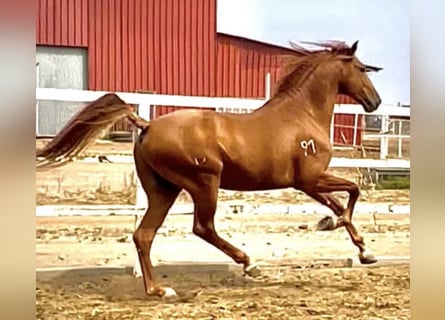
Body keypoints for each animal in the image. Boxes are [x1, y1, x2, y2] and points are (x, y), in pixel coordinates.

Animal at [36, 40, 382, 298]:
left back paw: (159, 290)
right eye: (361, 68)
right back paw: (249, 264)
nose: (375, 102)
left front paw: (360, 248)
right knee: (203, 227)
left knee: (143, 235)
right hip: (204, 182)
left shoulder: (307, 183)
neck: (301, 115)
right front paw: (338, 229)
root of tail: (146, 124)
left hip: (164, 190)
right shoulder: (310, 180)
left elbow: (340, 202)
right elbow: (353, 193)